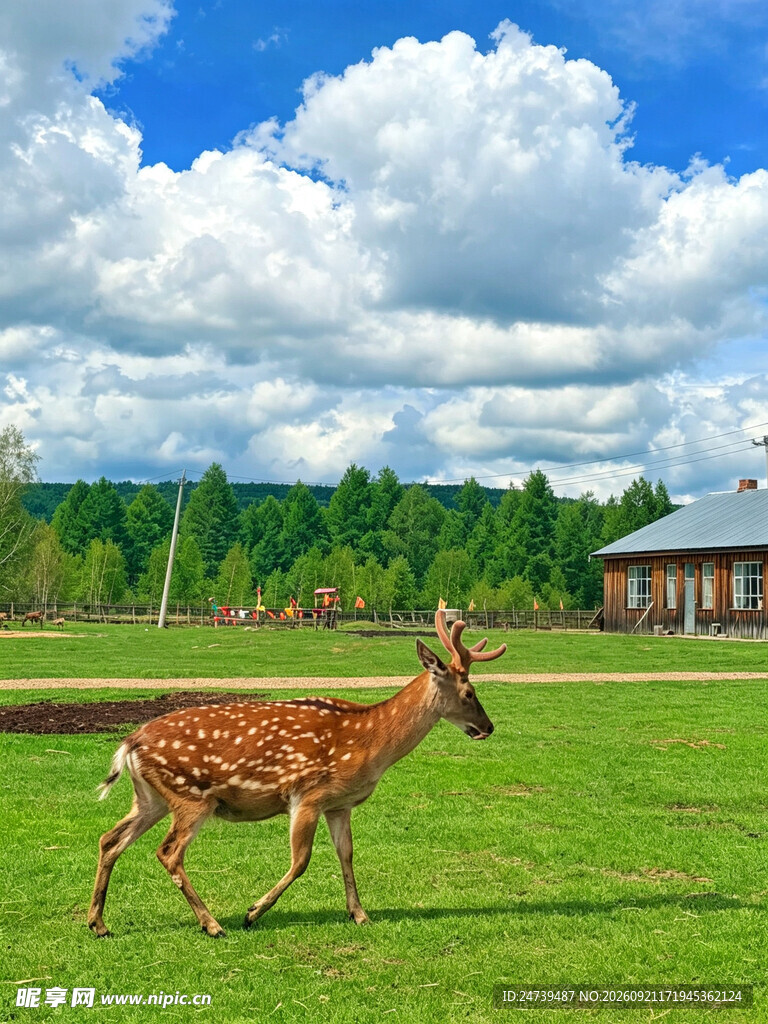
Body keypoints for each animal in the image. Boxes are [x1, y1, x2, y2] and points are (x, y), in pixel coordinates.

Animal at [88, 611, 506, 938]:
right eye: (469, 692)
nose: (488, 727)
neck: (371, 744)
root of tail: (129, 743)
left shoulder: (339, 805)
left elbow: (346, 854)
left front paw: (359, 914)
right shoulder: (307, 794)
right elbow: (301, 860)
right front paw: (252, 912)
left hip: (151, 798)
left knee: (109, 839)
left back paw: (98, 923)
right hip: (191, 796)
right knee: (168, 852)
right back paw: (212, 924)